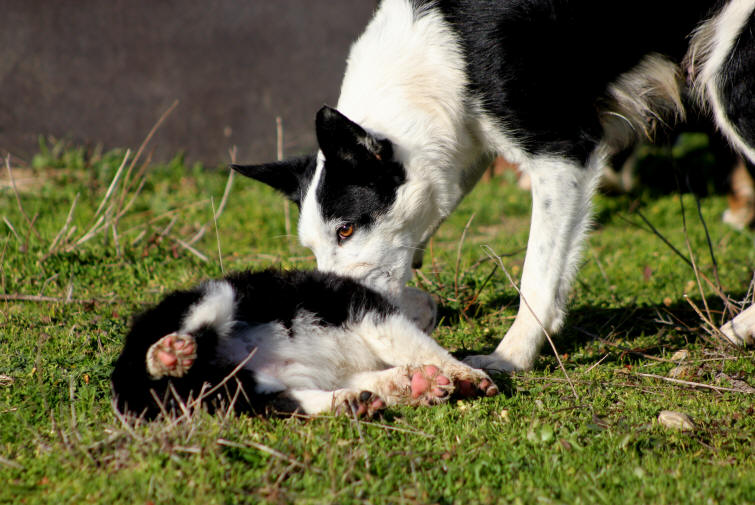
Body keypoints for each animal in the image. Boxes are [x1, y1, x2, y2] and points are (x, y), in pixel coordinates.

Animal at [112, 268, 500, 418]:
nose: (434, 309)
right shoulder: (368, 313)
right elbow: (416, 345)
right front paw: (471, 379)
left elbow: (383, 376)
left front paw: (420, 385)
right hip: (214, 297)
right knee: (190, 330)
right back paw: (169, 355)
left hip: (234, 390)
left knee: (284, 400)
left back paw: (353, 403)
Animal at [235, 0, 755, 370]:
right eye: (313, 247)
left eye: (346, 230)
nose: (332, 305)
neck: (443, 46)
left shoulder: (564, 153)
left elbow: (536, 278)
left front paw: (511, 357)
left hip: (728, 75)